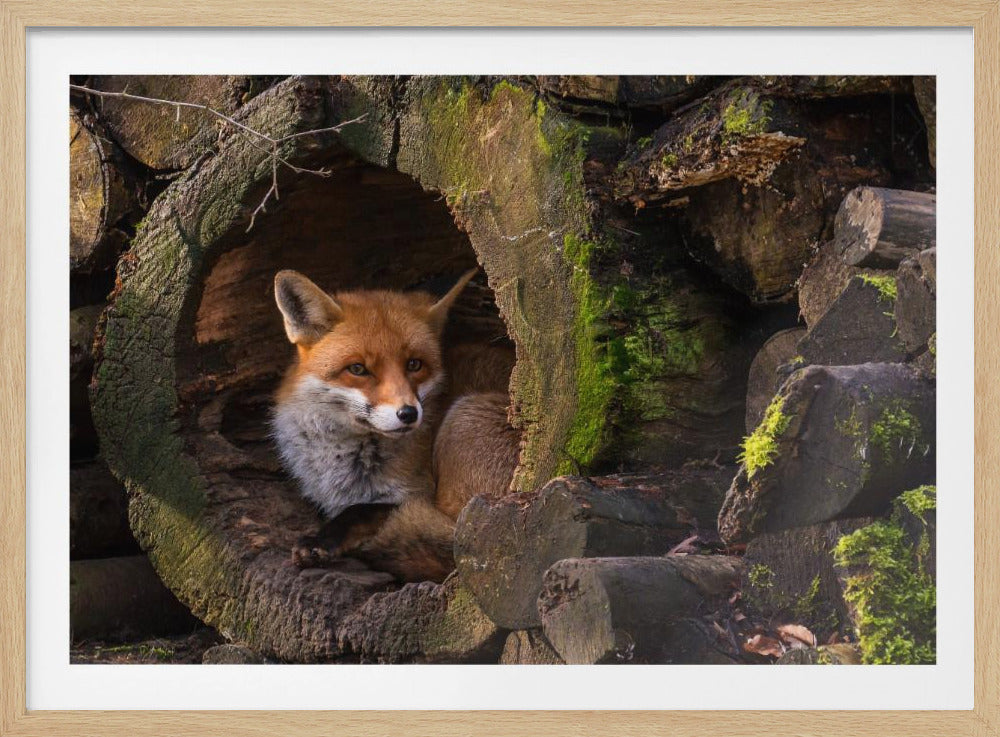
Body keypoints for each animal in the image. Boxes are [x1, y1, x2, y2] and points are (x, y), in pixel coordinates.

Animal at [271, 267, 520, 582]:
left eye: (414, 364)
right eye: (358, 369)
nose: (408, 413)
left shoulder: (417, 494)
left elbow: (361, 510)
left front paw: (321, 540)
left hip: (464, 426)